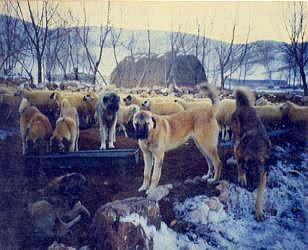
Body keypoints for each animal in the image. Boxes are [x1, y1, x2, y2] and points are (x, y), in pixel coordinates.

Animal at [231, 87, 272, 221]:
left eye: (257, 174)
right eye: (249, 170)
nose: (250, 189)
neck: (255, 148)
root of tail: (244, 105)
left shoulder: (263, 173)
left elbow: (260, 193)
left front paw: (259, 211)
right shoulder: (240, 152)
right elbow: (240, 166)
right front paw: (242, 178)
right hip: (237, 136)